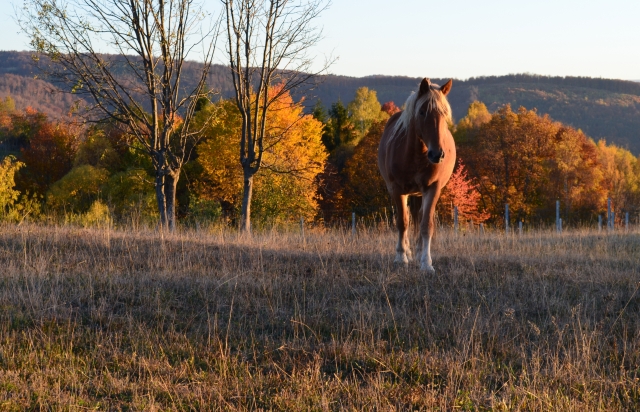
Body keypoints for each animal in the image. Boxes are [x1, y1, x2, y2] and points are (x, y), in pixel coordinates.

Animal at [378, 79, 458, 276]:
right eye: (422, 112)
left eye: (444, 113)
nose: (437, 154)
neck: (416, 154)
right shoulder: (397, 189)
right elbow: (402, 222)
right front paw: (401, 257)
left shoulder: (433, 188)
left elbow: (426, 224)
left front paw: (426, 263)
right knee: (408, 218)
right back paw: (407, 251)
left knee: (420, 217)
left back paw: (420, 250)